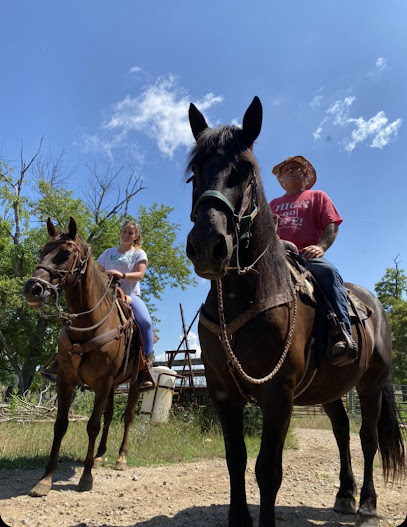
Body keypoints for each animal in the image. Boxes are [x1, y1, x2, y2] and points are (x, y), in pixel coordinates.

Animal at [23, 217, 144, 498]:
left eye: (66, 253)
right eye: (42, 250)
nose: (33, 289)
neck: (88, 324)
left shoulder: (102, 383)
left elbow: (92, 425)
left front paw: (86, 477)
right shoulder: (66, 380)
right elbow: (60, 425)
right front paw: (45, 479)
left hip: (132, 383)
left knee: (127, 417)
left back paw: (120, 458)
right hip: (113, 386)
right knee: (110, 415)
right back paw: (99, 456)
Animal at [186, 98, 406, 527]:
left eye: (245, 171)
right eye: (193, 174)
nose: (208, 244)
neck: (246, 297)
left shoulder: (279, 393)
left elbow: (268, 469)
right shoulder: (223, 391)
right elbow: (235, 459)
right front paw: (239, 519)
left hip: (371, 384)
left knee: (368, 438)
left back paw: (367, 504)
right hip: (331, 389)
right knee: (341, 432)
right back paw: (345, 495)